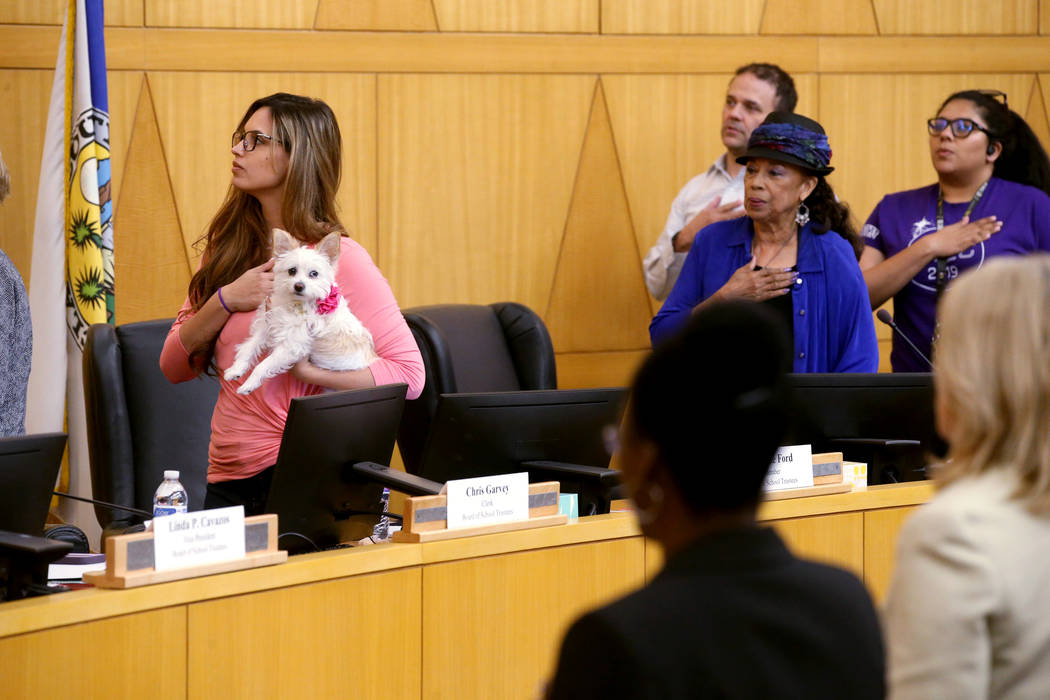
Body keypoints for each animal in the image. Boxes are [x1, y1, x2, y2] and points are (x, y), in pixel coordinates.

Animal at [223, 228, 380, 394]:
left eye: (314, 274)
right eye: (292, 271)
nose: (299, 285)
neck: (294, 304)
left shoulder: (291, 346)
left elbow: (263, 365)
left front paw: (249, 384)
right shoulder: (268, 327)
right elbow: (248, 347)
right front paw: (235, 370)